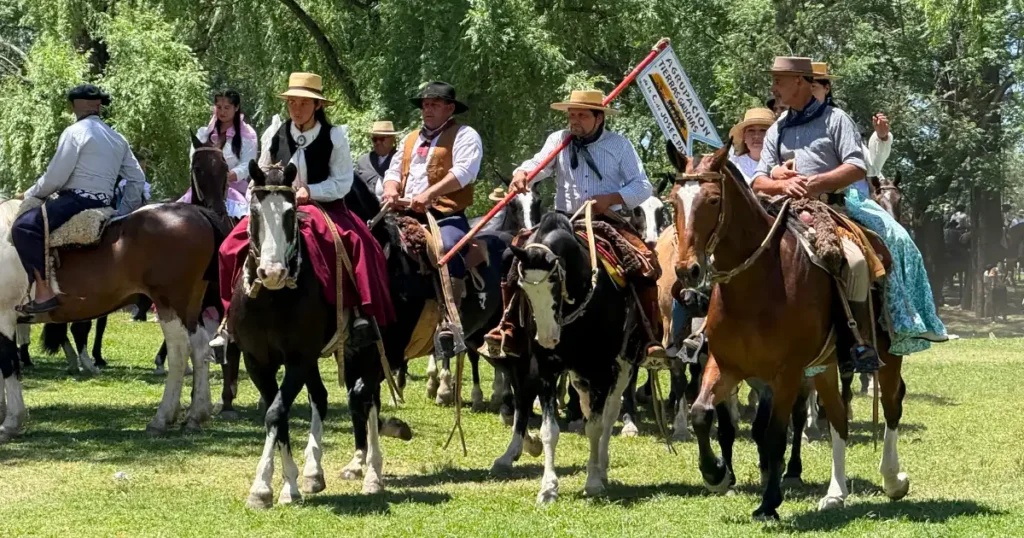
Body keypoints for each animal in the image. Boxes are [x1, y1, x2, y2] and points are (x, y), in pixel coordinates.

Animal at [0, 136, 231, 438]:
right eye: (200, 169)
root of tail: (200, 214)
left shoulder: (4, 317)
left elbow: (7, 363)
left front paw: (11, 420)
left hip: (169, 302)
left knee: (180, 352)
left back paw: (162, 418)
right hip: (190, 304)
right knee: (199, 348)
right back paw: (195, 414)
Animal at [675, 145, 909, 520]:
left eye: (712, 199)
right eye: (673, 201)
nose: (687, 270)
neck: (755, 285)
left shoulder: (785, 374)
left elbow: (773, 433)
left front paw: (769, 501)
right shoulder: (725, 365)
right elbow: (702, 414)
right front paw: (716, 474)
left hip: (885, 355)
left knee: (891, 404)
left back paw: (893, 479)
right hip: (825, 365)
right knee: (838, 418)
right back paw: (835, 493)